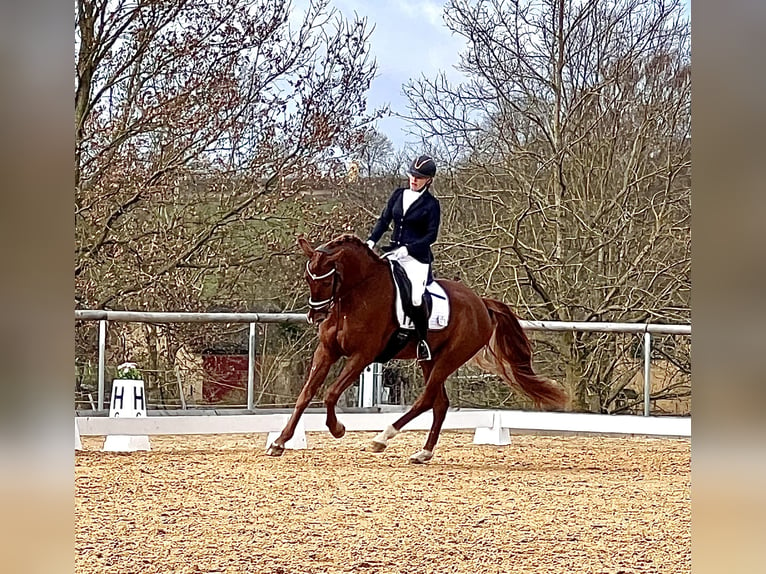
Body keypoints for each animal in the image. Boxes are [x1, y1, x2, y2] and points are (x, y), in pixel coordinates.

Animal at [266, 234, 568, 464]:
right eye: (308, 279)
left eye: (328, 280)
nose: (315, 316)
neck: (355, 295)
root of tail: (481, 303)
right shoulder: (326, 351)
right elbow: (305, 395)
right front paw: (279, 442)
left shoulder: (362, 356)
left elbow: (330, 393)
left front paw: (338, 429)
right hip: (429, 358)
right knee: (440, 403)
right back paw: (423, 453)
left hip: (450, 358)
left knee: (426, 399)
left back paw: (382, 437)